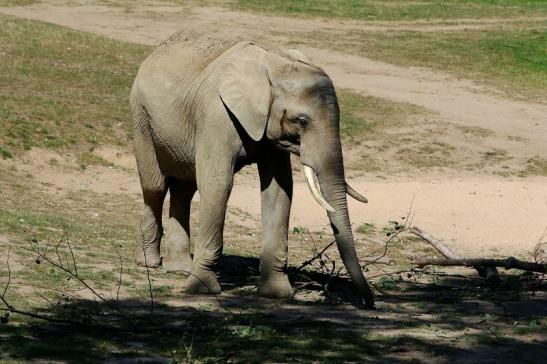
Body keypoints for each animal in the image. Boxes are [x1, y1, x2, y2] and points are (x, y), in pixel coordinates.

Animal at [131, 32, 374, 308]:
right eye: (302, 121)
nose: (369, 304)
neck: (276, 65)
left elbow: (279, 190)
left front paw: (277, 294)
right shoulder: (217, 114)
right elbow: (217, 184)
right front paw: (202, 289)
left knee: (185, 188)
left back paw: (180, 268)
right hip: (141, 116)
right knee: (156, 187)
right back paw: (150, 263)